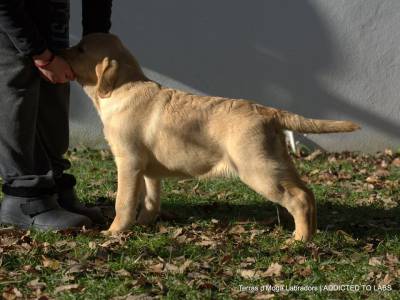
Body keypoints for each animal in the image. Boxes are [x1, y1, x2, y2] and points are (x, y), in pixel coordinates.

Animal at [61, 33, 360, 241]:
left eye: (81, 49)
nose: (60, 51)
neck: (123, 88)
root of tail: (269, 111)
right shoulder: (147, 169)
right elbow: (150, 198)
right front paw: (146, 222)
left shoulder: (128, 162)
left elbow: (123, 201)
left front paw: (114, 231)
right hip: (275, 162)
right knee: (307, 193)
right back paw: (312, 232)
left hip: (258, 169)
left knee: (298, 199)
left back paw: (299, 239)